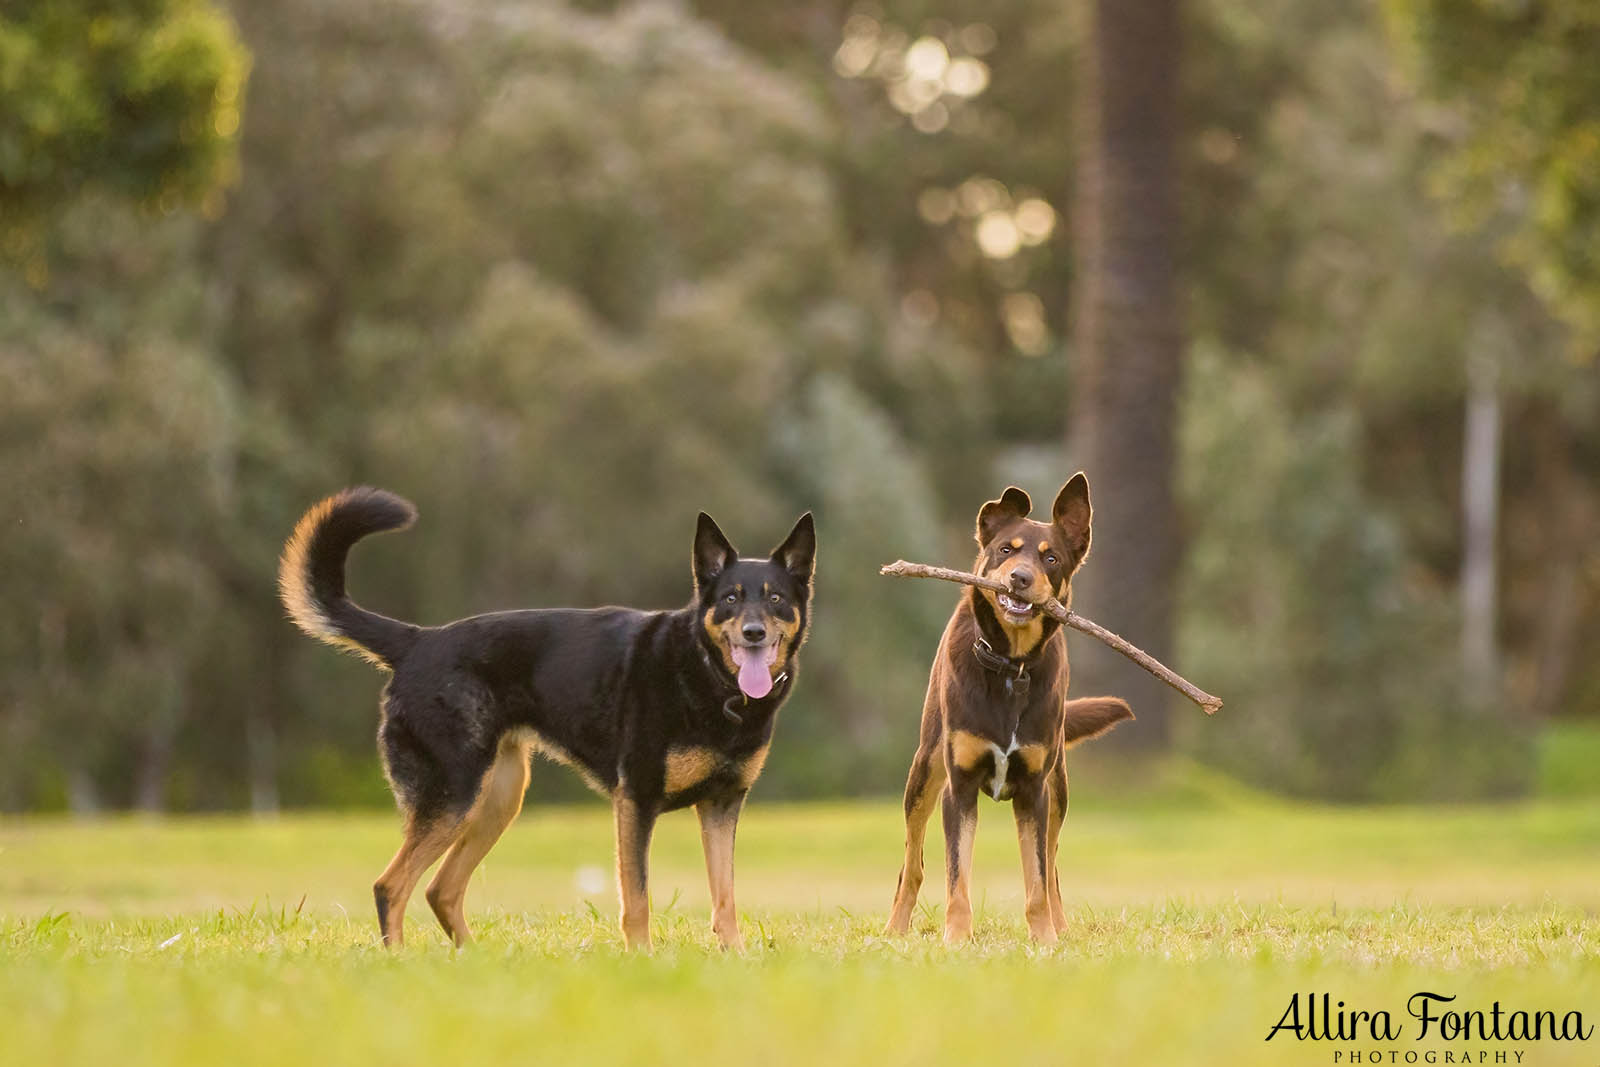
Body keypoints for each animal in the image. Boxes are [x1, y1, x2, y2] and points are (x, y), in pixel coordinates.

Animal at [273, 489, 812, 947]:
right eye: (730, 599)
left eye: (776, 599)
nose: (754, 633)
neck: (706, 676)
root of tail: (418, 641)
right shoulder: (636, 800)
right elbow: (637, 898)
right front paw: (643, 962)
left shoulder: (722, 806)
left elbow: (725, 899)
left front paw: (736, 960)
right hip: (453, 796)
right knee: (391, 886)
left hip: (497, 800)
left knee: (440, 890)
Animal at [883, 473, 1132, 940]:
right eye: (1005, 550)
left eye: (1051, 558)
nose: (1019, 578)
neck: (1011, 665)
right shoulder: (959, 788)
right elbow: (956, 879)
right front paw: (956, 939)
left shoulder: (1035, 791)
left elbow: (1037, 880)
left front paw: (1046, 940)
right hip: (924, 773)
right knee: (912, 863)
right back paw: (895, 928)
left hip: (1059, 790)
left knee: (1052, 869)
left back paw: (1061, 926)